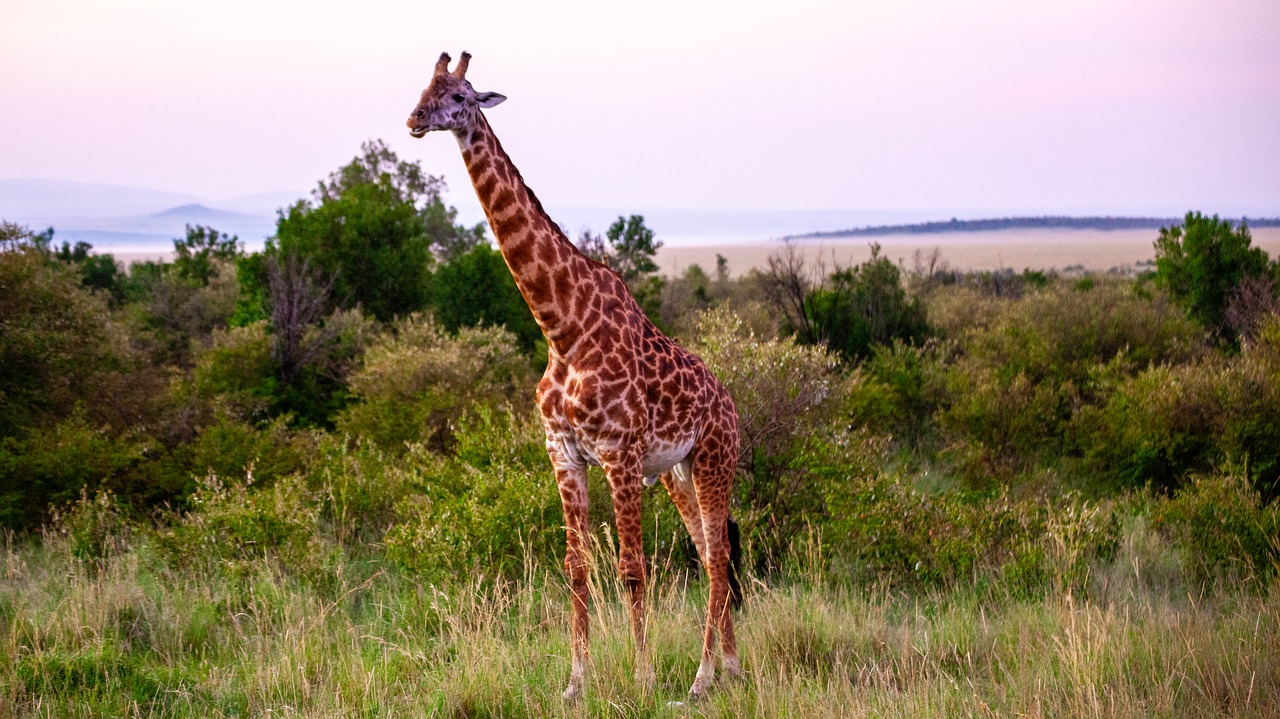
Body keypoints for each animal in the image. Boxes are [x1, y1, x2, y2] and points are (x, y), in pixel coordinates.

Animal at [404, 51, 747, 701]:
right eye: (421, 88)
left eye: (459, 95)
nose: (413, 120)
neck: (562, 330)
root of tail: (731, 404)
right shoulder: (562, 452)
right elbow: (577, 568)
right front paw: (575, 682)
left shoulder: (619, 453)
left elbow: (632, 569)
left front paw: (642, 678)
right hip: (679, 471)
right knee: (708, 547)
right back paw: (729, 669)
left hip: (715, 458)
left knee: (717, 557)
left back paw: (700, 679)